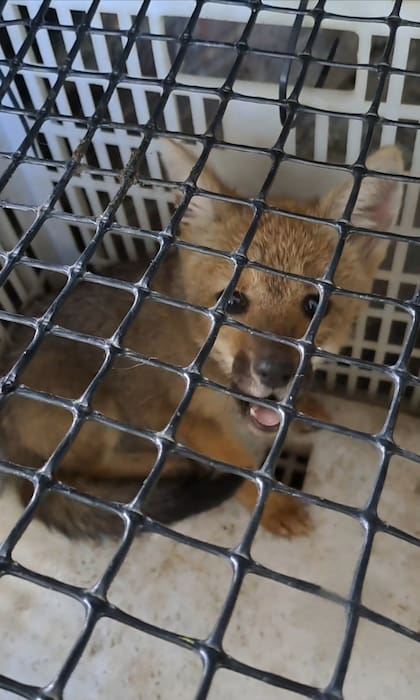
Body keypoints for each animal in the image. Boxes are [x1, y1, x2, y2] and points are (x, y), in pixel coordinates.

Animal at [0, 142, 403, 538]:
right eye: (233, 300)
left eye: (314, 305)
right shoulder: (189, 420)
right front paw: (275, 508)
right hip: (101, 409)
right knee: (86, 469)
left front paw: (307, 409)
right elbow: (241, 468)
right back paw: (174, 466)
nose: (275, 372)